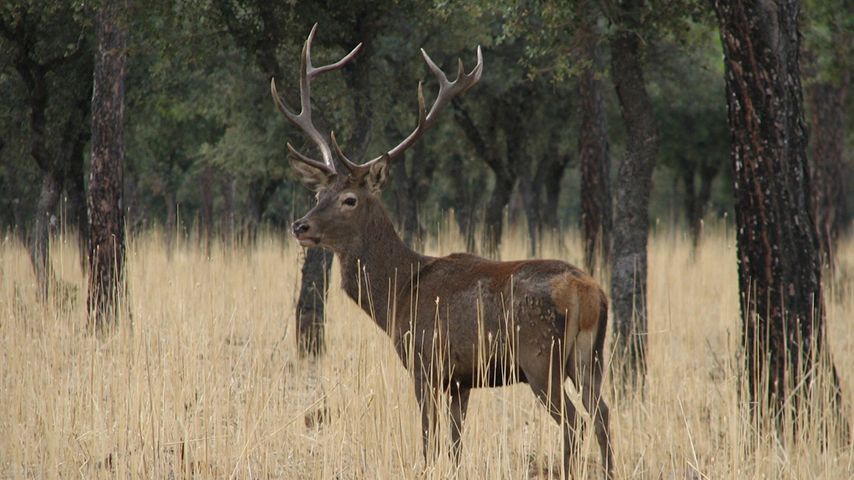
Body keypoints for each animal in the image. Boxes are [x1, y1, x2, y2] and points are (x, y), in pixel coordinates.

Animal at [272, 24, 614, 478]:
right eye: (316, 193)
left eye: (349, 199)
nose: (301, 226)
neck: (397, 295)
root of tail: (585, 291)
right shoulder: (461, 380)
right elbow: (454, 445)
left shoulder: (425, 362)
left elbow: (428, 439)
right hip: (590, 356)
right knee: (604, 413)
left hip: (541, 356)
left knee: (575, 422)